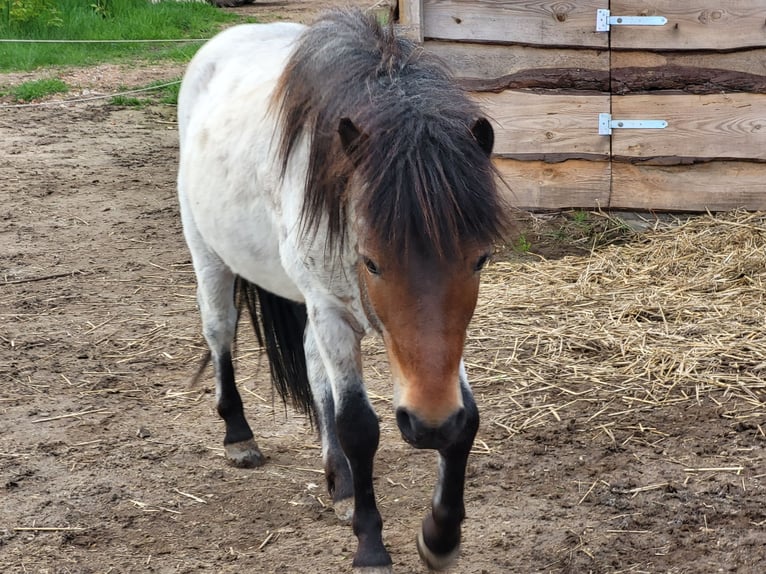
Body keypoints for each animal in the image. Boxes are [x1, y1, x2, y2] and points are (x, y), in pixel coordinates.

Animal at [177, 10, 508, 574]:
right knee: (220, 333)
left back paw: (342, 483)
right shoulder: (331, 311)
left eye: (479, 259)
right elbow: (357, 425)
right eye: (371, 261)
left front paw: (440, 536)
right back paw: (239, 436)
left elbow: (468, 419)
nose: (429, 425)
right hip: (211, 257)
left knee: (311, 363)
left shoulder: (435, 351)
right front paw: (371, 545)